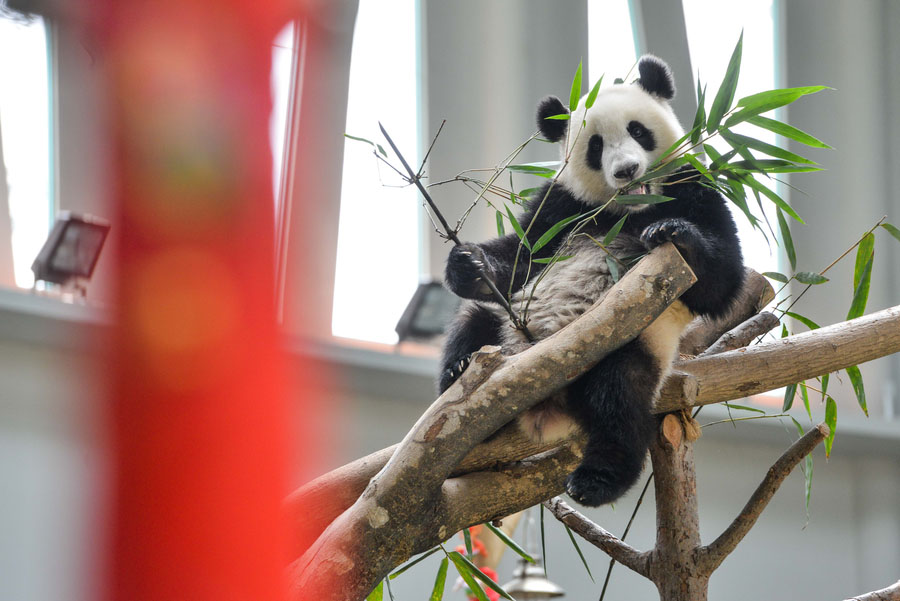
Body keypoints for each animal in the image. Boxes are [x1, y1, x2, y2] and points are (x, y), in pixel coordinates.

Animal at [438, 55, 744, 507]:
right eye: (595, 146)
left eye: (638, 130)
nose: (627, 171)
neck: (629, 208)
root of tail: (546, 407)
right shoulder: (562, 205)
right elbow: (521, 255)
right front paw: (467, 264)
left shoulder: (693, 186)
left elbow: (723, 281)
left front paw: (673, 233)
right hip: (508, 329)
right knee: (474, 322)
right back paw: (459, 377)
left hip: (627, 342)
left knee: (619, 398)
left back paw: (596, 480)